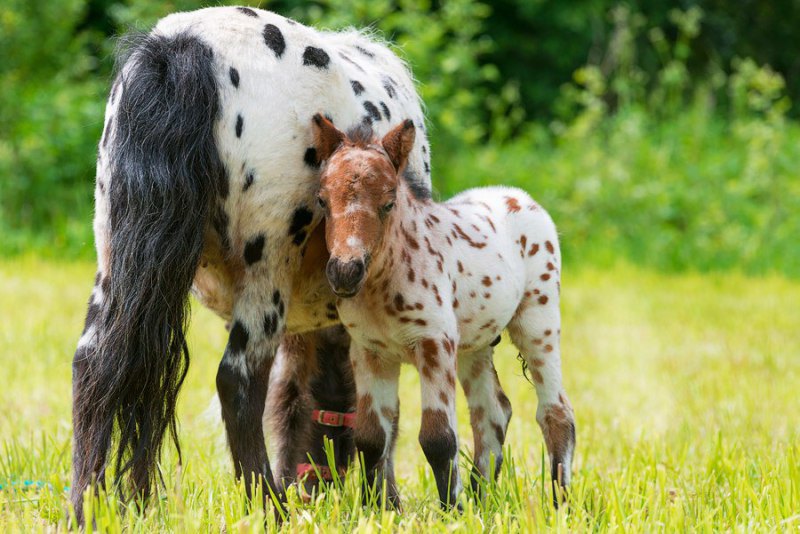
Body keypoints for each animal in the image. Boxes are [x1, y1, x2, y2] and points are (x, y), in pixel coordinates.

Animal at [70, 6, 432, 524]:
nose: (315, 486)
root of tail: (183, 49)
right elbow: (378, 410)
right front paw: (387, 502)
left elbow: (287, 393)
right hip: (267, 270)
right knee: (237, 380)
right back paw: (270, 507)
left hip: (118, 262)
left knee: (99, 363)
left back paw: (93, 507)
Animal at [310, 114, 576, 510]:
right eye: (323, 200)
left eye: (388, 203)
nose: (345, 271)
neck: (382, 287)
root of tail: (522, 198)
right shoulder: (369, 352)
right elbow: (372, 438)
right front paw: (378, 510)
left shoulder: (434, 343)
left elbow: (438, 438)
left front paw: (453, 510)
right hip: (473, 345)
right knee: (493, 413)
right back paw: (483, 501)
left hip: (538, 323)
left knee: (556, 413)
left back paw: (560, 505)